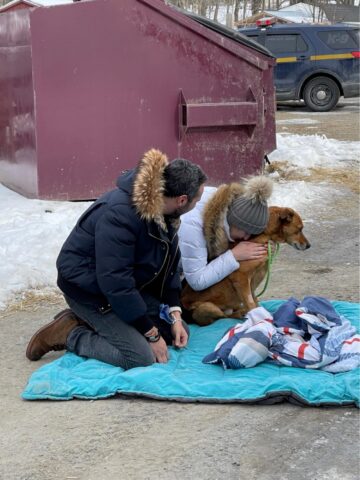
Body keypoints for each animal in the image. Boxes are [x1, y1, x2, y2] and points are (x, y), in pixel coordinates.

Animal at [181, 206, 310, 326]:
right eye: (300, 229)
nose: (309, 246)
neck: (265, 235)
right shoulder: (241, 279)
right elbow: (251, 303)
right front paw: (260, 319)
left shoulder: (252, 282)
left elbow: (255, 300)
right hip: (206, 307)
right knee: (224, 317)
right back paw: (241, 314)